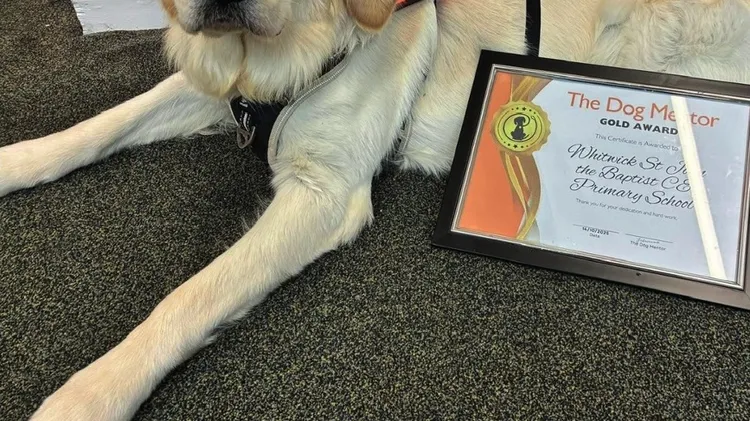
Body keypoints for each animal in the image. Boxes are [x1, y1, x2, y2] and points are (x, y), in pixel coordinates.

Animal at [1, 0, 748, 419]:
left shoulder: (324, 191)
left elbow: (192, 296)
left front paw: (88, 397)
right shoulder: (223, 90)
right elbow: (104, 124)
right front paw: (16, 161)